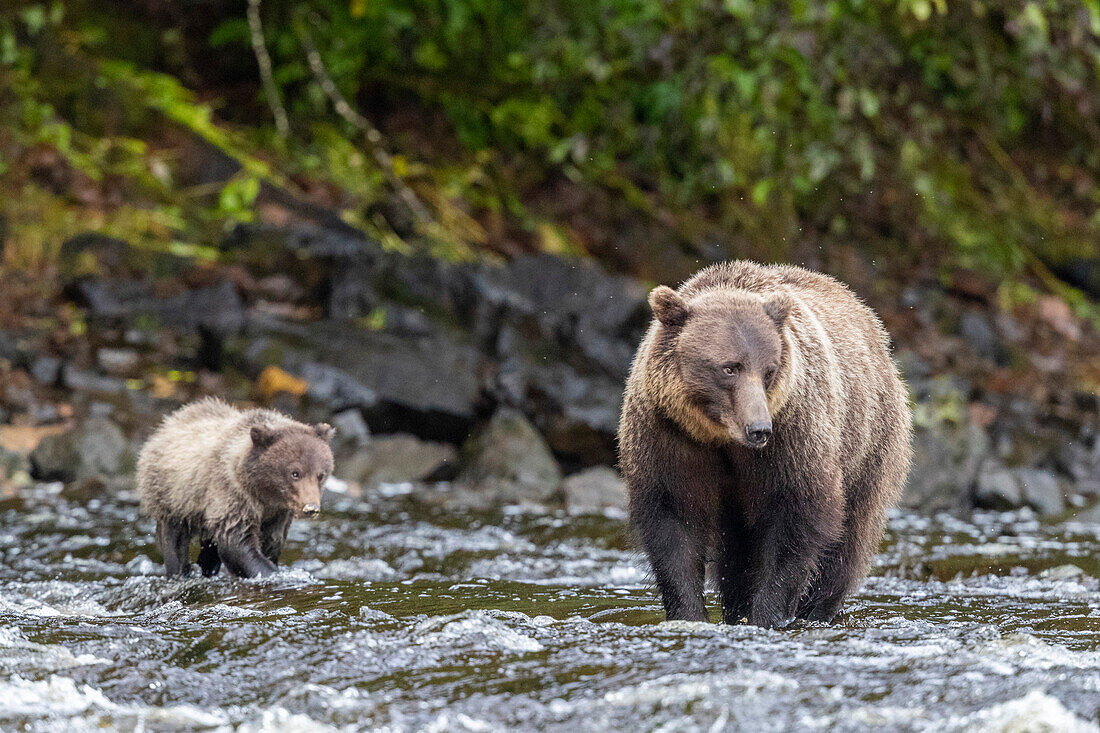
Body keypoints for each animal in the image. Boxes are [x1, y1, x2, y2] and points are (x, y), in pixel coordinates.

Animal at [620, 259, 910, 625]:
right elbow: (673, 520)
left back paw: (815, 609)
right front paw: (689, 613)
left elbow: (798, 517)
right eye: (729, 368)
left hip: (868, 441)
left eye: (769, 370)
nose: (759, 429)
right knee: (739, 549)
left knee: (848, 538)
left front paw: (767, 613)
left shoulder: (792, 435)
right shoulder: (669, 436)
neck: (720, 438)